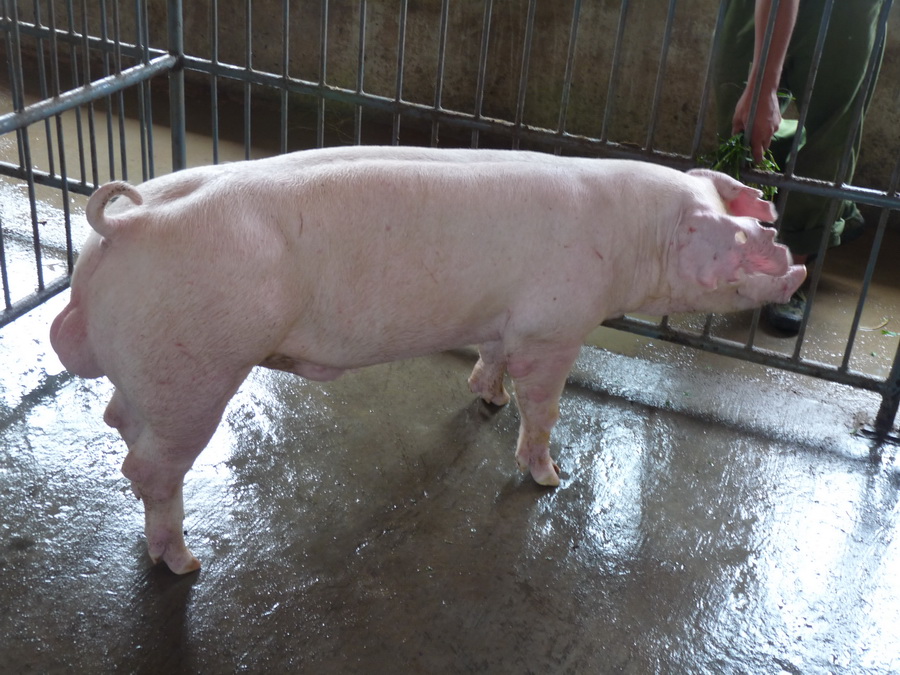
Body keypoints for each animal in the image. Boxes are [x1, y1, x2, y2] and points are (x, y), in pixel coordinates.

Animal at [49, 145, 805, 574]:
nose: (793, 261)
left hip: (152, 368)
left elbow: (491, 358)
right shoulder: (554, 325)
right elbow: (544, 404)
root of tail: (125, 222)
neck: (637, 235)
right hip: (195, 366)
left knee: (121, 420)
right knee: (148, 467)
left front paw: (487, 397)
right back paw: (186, 564)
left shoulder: (505, 318)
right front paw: (548, 477)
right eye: (741, 244)